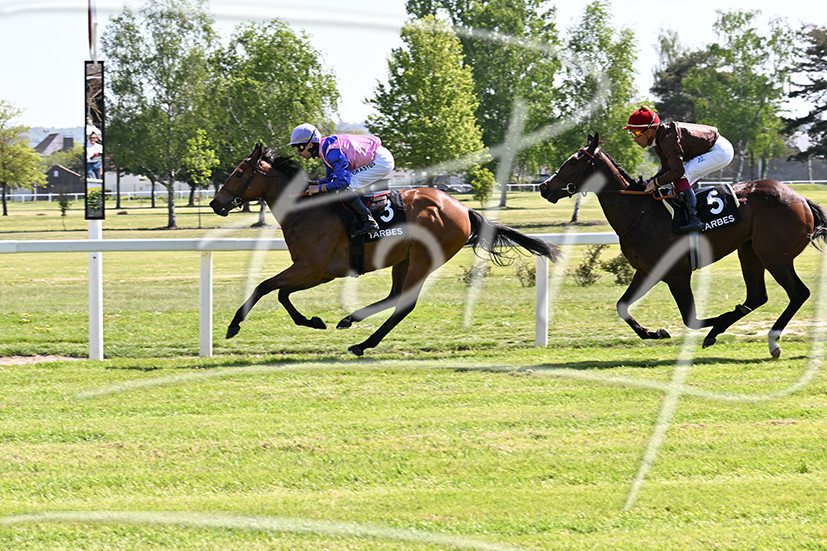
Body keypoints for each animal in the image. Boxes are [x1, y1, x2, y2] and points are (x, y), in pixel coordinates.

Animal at [210, 143, 560, 356]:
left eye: (239, 172)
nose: (215, 203)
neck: (304, 210)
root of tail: (463, 208)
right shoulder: (316, 272)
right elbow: (280, 293)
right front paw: (314, 321)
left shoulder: (312, 268)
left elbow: (265, 287)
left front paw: (233, 325)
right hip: (403, 258)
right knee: (395, 297)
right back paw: (352, 323)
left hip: (424, 259)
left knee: (404, 304)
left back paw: (362, 342)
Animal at [538, 133, 827, 358]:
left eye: (574, 160)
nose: (544, 187)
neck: (641, 212)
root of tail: (801, 199)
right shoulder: (647, 271)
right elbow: (622, 306)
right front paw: (654, 332)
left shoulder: (677, 273)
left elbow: (692, 319)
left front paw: (716, 323)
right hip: (750, 251)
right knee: (757, 296)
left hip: (774, 255)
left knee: (798, 293)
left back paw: (771, 340)